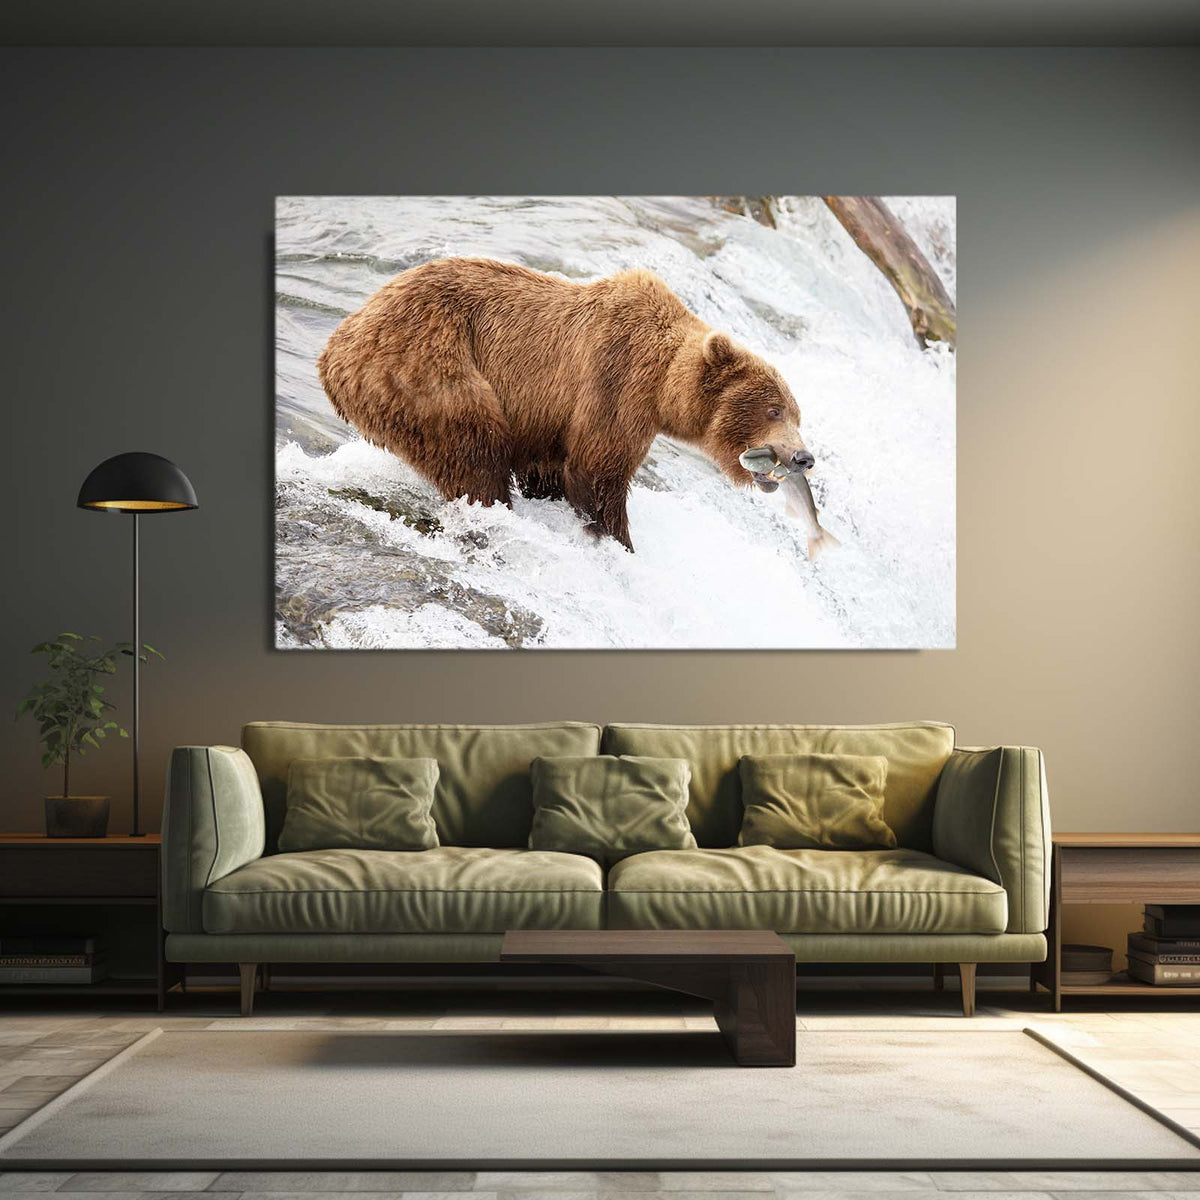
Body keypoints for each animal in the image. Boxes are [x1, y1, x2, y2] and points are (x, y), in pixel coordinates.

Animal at [317, 257, 813, 551]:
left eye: (797, 413)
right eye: (774, 410)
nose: (803, 457)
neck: (663, 385)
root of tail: (335, 347)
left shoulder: (549, 419)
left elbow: (551, 469)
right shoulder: (615, 381)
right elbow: (597, 472)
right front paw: (619, 541)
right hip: (426, 365)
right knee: (473, 447)